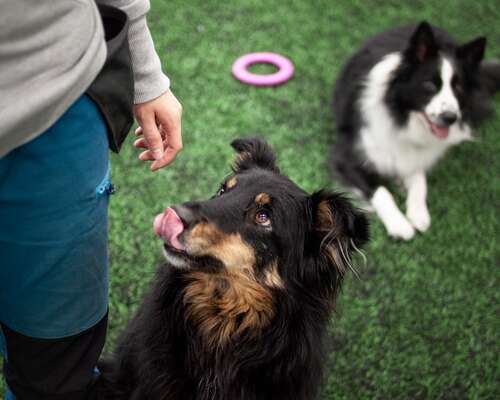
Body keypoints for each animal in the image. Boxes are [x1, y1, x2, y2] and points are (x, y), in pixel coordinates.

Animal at [330, 21, 498, 239]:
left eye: (458, 88)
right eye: (429, 85)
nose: (450, 118)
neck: (402, 118)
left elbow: (419, 180)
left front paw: (418, 213)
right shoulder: (347, 156)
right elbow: (381, 190)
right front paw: (399, 224)